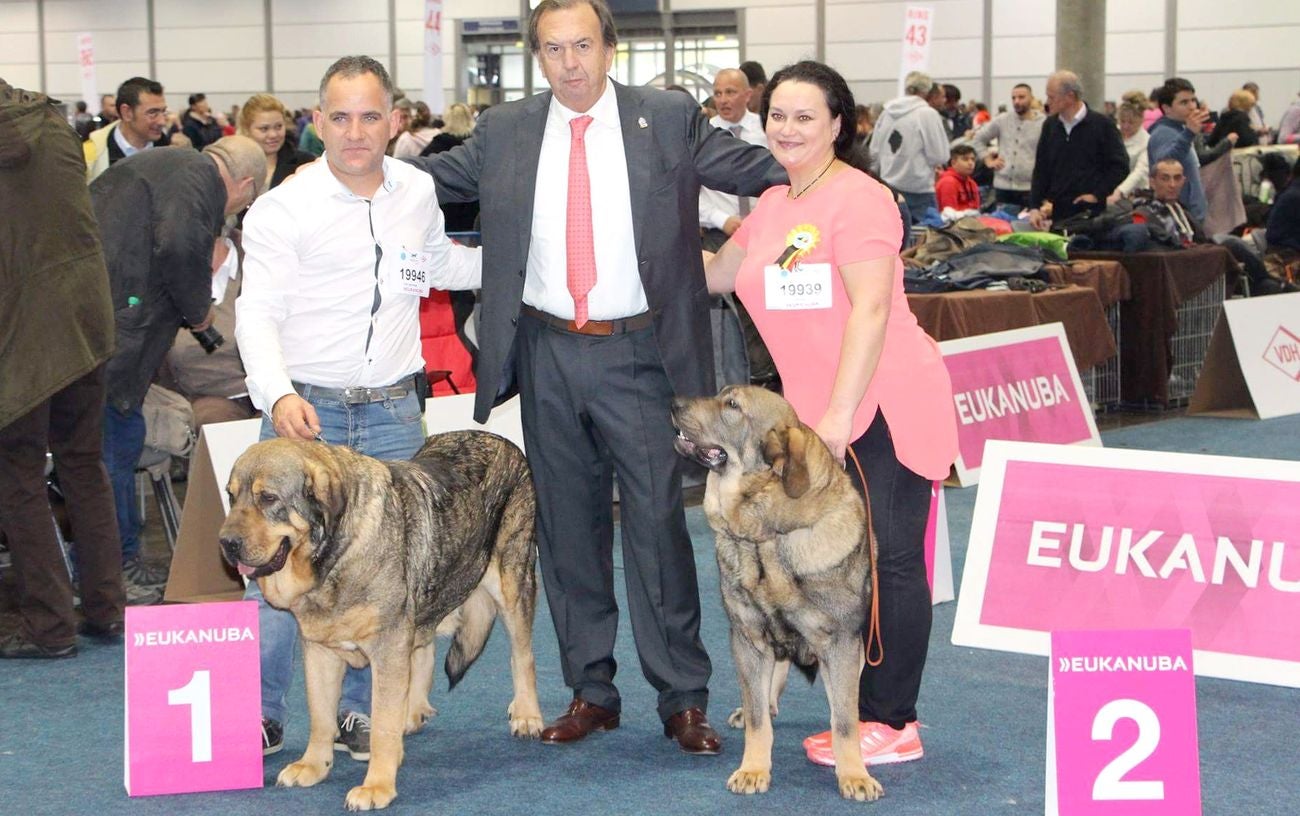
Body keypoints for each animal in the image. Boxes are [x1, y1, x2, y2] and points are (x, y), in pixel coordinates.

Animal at [218, 433, 543, 810]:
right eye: (231, 496)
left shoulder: (387, 650)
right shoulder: (319, 652)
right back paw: (413, 712)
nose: (226, 543)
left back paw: (527, 714)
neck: (335, 557)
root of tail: (501, 440)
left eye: (268, 498)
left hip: (511, 583)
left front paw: (377, 786)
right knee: (424, 652)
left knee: (522, 656)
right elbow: (320, 716)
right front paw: (313, 766)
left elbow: (382, 728)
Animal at [670, 384, 883, 800]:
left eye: (732, 405)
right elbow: (757, 720)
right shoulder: (748, 638)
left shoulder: (841, 643)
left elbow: (845, 721)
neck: (765, 537)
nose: (673, 403)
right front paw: (753, 769)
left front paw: (854, 775)